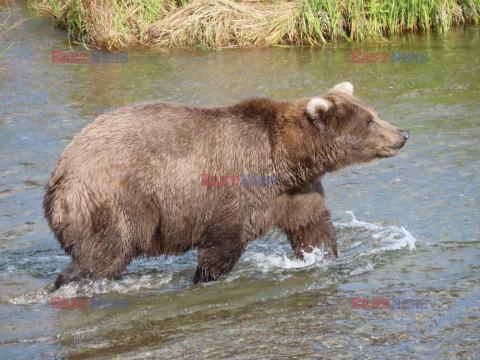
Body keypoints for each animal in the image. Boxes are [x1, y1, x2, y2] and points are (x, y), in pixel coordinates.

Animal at [44, 82, 408, 290]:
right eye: (369, 120)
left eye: (373, 112)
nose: (402, 134)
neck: (287, 160)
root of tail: (59, 170)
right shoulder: (241, 185)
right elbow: (222, 243)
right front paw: (204, 278)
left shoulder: (296, 191)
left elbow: (312, 227)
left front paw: (324, 258)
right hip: (110, 199)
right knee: (102, 254)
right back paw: (69, 283)